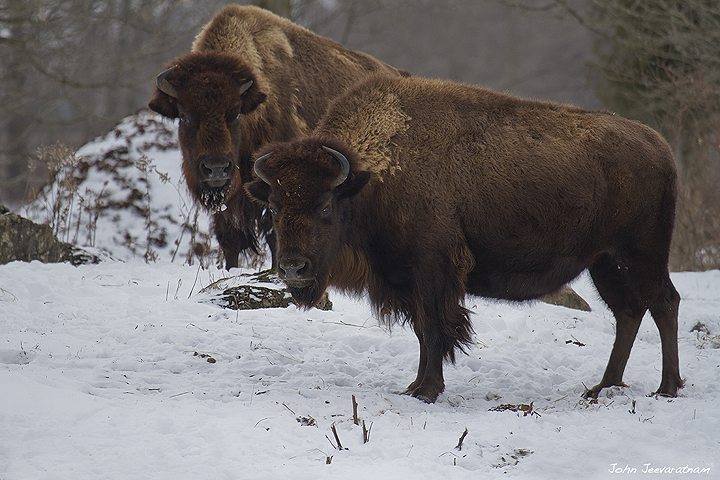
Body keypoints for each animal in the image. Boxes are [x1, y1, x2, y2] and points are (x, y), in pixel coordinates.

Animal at [148, 5, 407, 268]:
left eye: (236, 113)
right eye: (184, 116)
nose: (216, 169)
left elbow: (275, 236)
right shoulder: (230, 200)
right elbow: (230, 239)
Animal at [246, 74, 683, 403]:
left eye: (324, 206)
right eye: (274, 206)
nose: (293, 267)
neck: (371, 178)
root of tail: (661, 148)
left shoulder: (433, 272)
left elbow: (435, 329)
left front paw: (428, 391)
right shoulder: (408, 280)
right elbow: (423, 332)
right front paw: (414, 387)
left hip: (641, 255)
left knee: (663, 303)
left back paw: (666, 388)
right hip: (605, 261)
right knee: (628, 311)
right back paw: (602, 387)